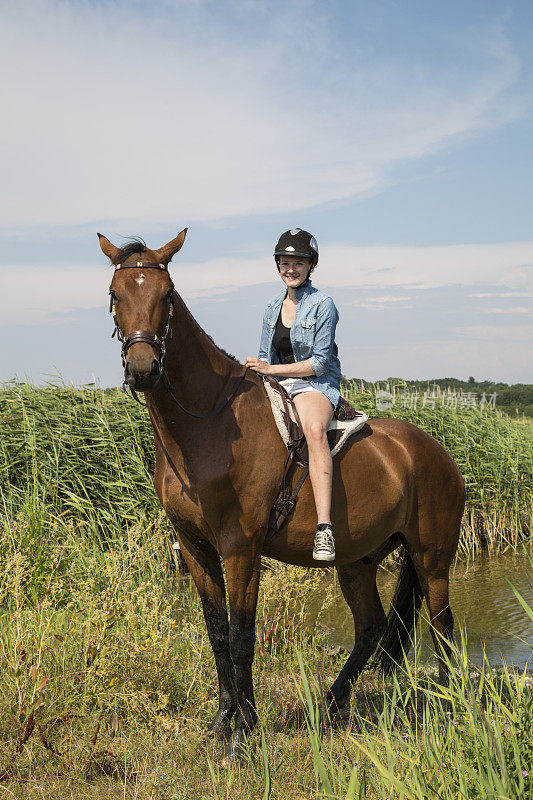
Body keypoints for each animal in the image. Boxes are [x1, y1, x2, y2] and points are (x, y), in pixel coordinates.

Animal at [98, 228, 462, 752]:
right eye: (115, 294)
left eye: (166, 296)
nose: (143, 368)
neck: (206, 423)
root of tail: (437, 453)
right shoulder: (195, 546)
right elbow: (217, 631)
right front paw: (222, 720)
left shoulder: (240, 548)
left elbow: (242, 633)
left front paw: (242, 732)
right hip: (357, 561)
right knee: (370, 628)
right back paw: (330, 704)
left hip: (432, 558)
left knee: (443, 626)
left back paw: (452, 709)